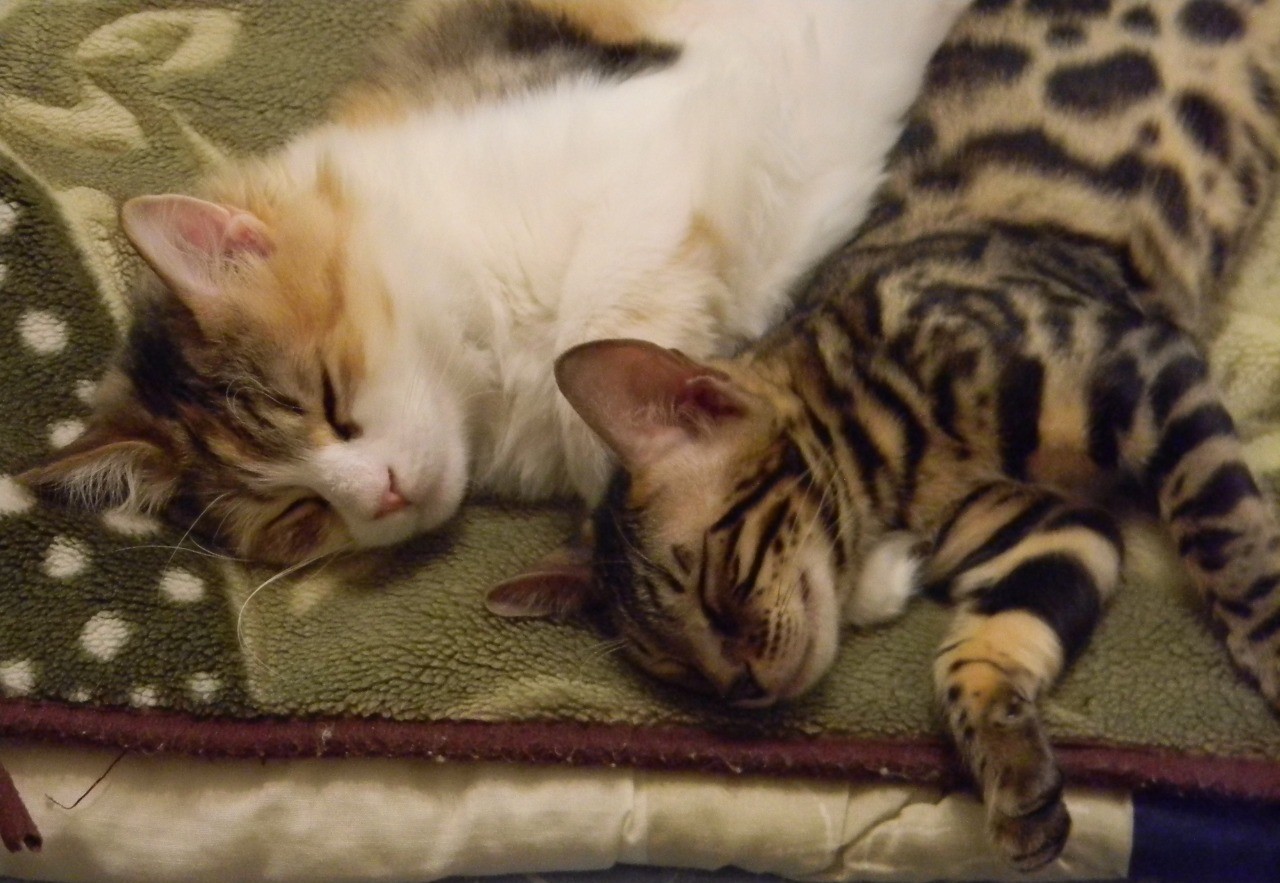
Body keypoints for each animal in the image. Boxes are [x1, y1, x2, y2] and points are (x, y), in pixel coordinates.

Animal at [486, 0, 1280, 865]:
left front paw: (1273, 650)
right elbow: (976, 654)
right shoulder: (1055, 528)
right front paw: (1009, 767)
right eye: (675, 668)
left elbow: (1228, 540)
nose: (742, 688)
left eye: (718, 585)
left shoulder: (1141, 367)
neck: (905, 482)